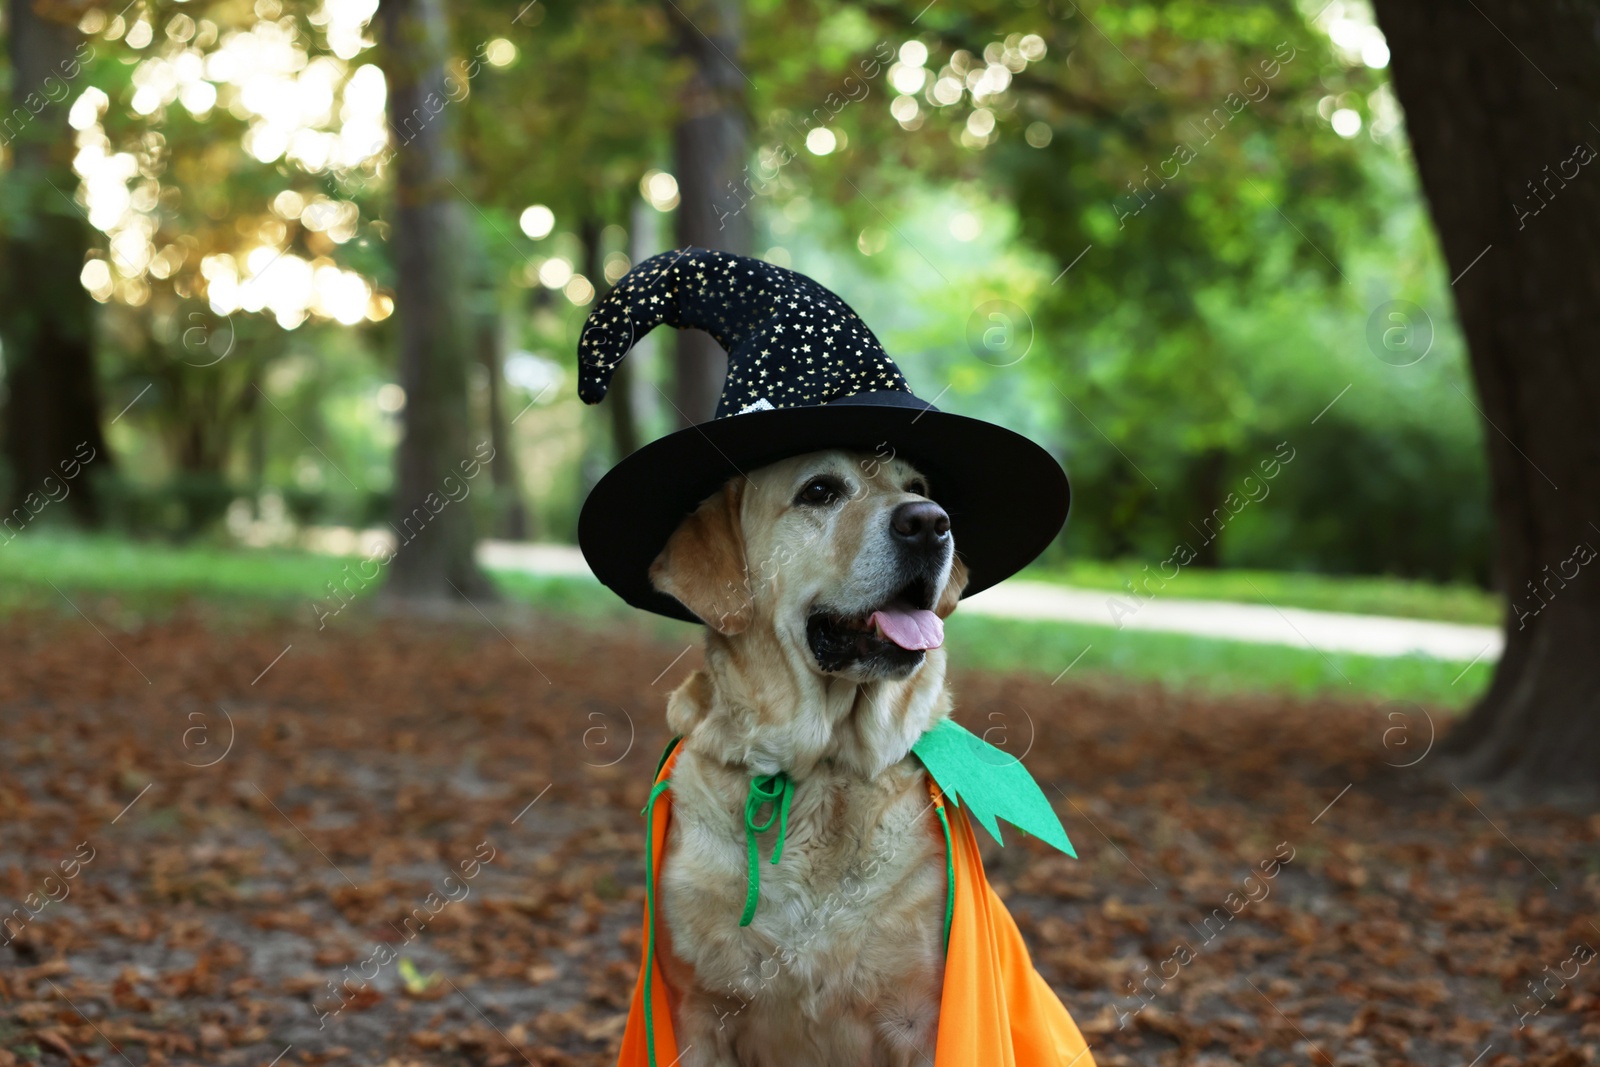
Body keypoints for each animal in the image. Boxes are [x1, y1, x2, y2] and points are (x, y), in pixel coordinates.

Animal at [643, 447, 966, 1062]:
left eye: (917, 488)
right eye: (819, 491)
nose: (931, 522)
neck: (824, 769)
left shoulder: (921, 1017)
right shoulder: (697, 1012)